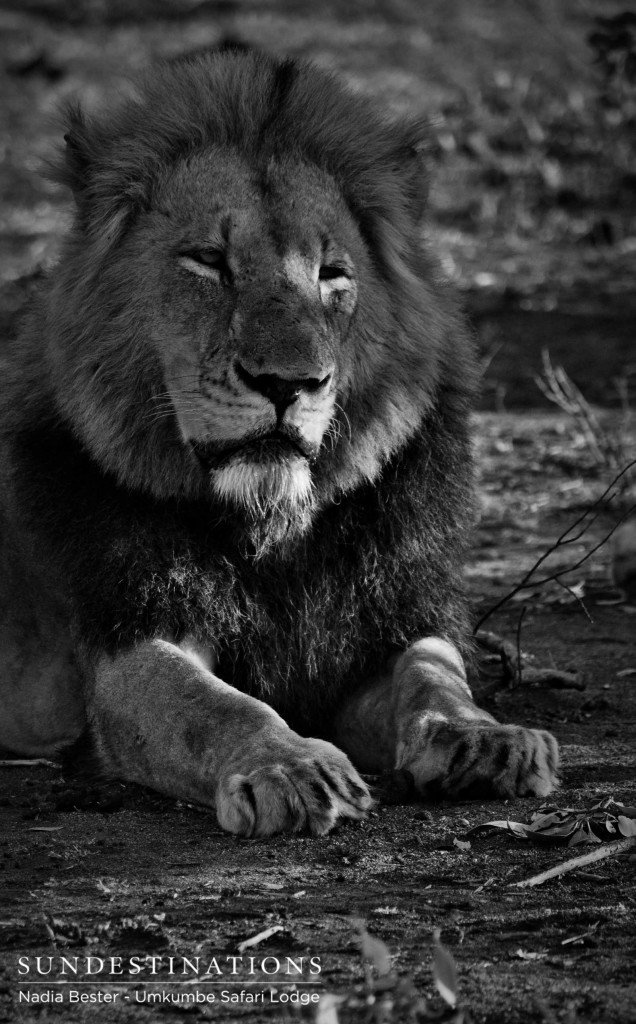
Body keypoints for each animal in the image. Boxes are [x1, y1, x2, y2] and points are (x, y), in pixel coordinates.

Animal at [0, 50, 559, 836]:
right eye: (208, 261)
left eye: (332, 275)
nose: (287, 383)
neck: (271, 532)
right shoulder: (125, 643)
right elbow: (212, 707)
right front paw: (291, 768)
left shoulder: (386, 622)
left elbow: (433, 673)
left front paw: (484, 738)